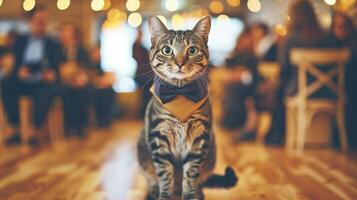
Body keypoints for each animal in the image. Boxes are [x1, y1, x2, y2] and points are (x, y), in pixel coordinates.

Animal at [137, 16, 236, 200]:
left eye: (192, 50)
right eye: (167, 50)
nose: (180, 63)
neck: (180, 92)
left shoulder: (199, 139)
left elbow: (190, 175)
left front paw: (190, 194)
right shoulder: (159, 138)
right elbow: (165, 176)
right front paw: (164, 195)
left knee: (200, 181)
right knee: (151, 177)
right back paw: (153, 191)